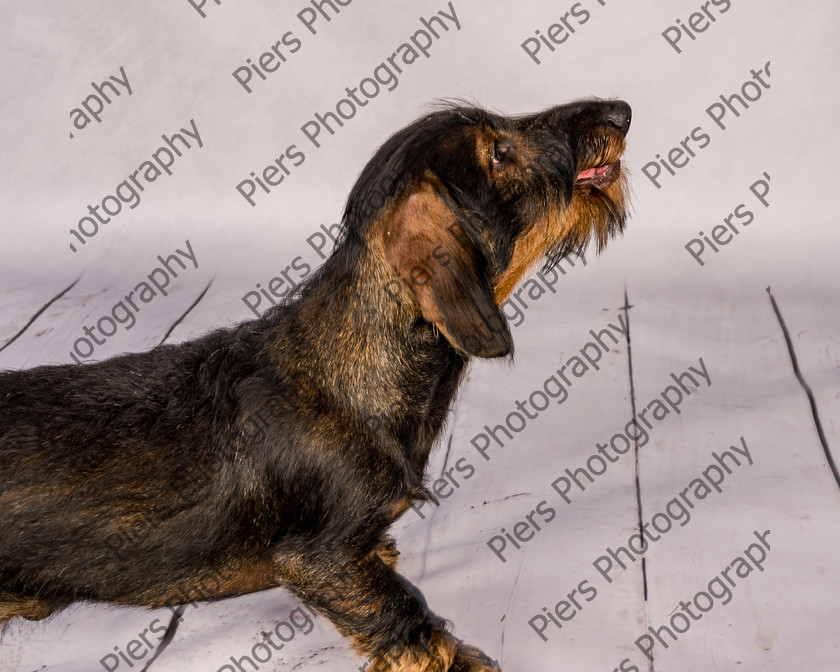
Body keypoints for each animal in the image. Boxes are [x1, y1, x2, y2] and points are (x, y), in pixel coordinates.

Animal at [0, 100, 632, 672]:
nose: (622, 112)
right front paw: (454, 659)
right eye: (498, 152)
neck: (353, 376)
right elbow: (399, 614)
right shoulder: (316, 560)